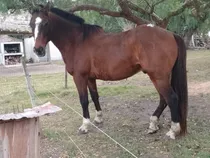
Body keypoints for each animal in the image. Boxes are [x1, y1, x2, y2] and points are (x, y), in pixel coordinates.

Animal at [29, 4, 187, 139]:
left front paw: (85, 125)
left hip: (158, 77)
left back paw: (172, 131)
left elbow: (84, 100)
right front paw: (98, 118)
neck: (77, 42)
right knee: (163, 99)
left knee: (171, 98)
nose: (38, 50)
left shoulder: (80, 77)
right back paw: (153, 125)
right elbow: (95, 97)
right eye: (31, 24)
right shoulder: (90, 78)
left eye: (45, 23)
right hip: (159, 76)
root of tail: (171, 34)